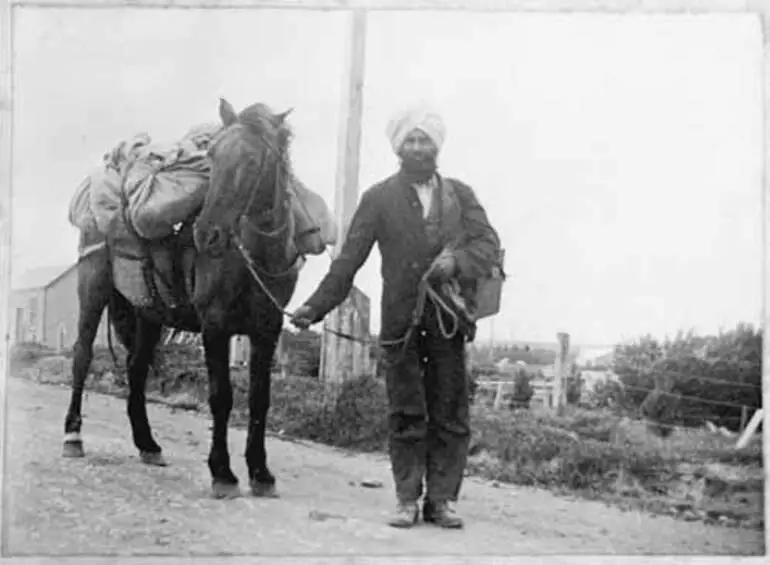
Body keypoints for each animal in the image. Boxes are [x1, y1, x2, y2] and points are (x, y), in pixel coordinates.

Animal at [62, 98, 320, 498]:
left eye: (252, 162)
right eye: (212, 155)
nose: (206, 234)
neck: (254, 257)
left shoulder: (268, 330)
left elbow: (260, 399)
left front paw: (260, 473)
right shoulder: (215, 326)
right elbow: (221, 397)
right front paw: (223, 472)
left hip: (148, 315)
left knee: (136, 369)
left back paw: (147, 444)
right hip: (93, 290)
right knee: (82, 356)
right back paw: (73, 436)